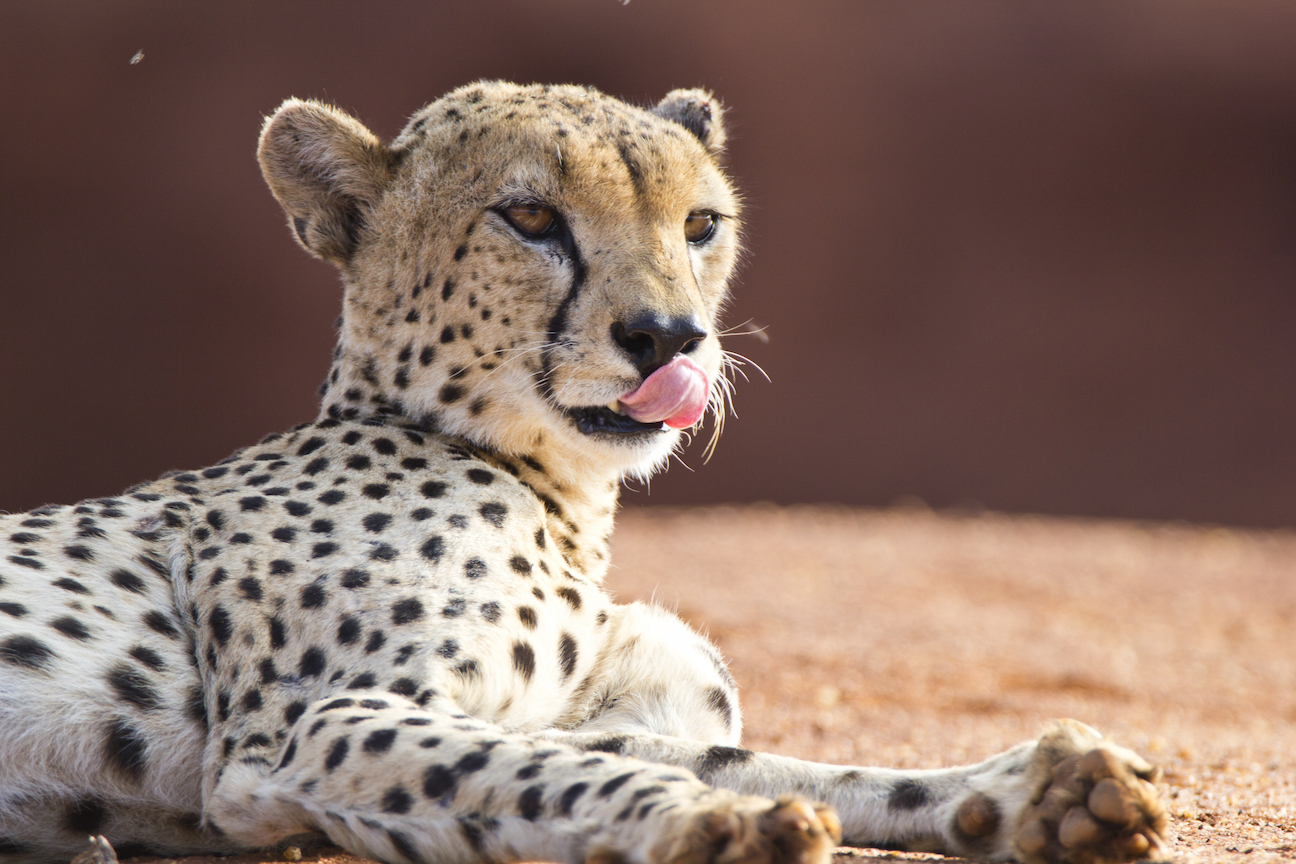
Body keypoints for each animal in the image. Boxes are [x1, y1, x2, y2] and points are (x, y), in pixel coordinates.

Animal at [0, 81, 1170, 864]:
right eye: (529, 218)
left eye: (701, 224)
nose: (669, 339)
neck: (558, 495)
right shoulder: (296, 741)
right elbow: (555, 776)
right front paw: (726, 825)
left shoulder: (605, 713)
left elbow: (773, 762)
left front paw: (1038, 792)